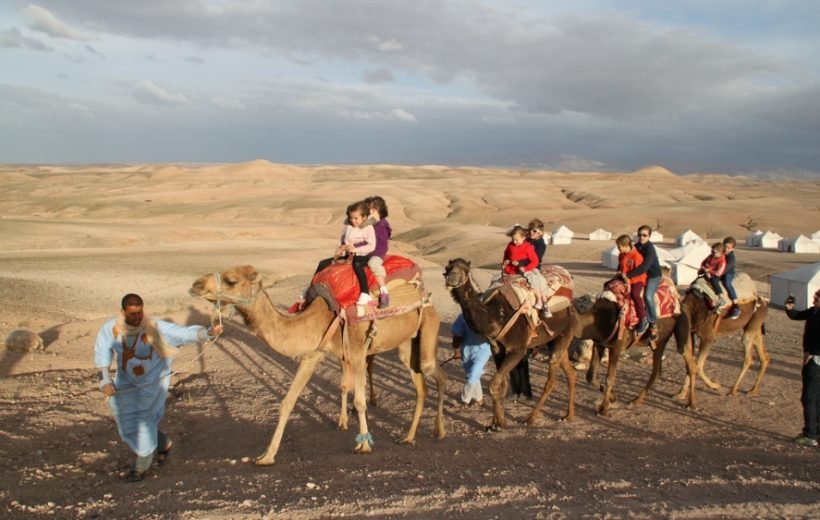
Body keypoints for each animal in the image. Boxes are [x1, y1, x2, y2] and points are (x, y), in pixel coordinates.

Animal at [189, 266, 446, 466]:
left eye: (231, 280)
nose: (195, 285)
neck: (320, 316)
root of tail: (425, 295)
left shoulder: (357, 351)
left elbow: (359, 401)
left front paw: (363, 445)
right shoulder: (313, 354)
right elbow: (288, 402)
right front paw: (266, 456)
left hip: (428, 327)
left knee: (436, 374)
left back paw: (439, 430)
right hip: (406, 345)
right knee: (421, 386)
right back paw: (408, 437)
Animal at [442, 258, 576, 428]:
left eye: (465, 269)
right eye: (447, 268)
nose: (451, 277)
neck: (498, 316)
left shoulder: (517, 350)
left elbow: (494, 385)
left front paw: (498, 424)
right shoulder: (497, 349)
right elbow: (502, 384)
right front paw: (497, 422)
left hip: (566, 330)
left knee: (551, 379)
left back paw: (530, 419)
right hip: (556, 338)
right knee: (570, 372)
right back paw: (569, 415)